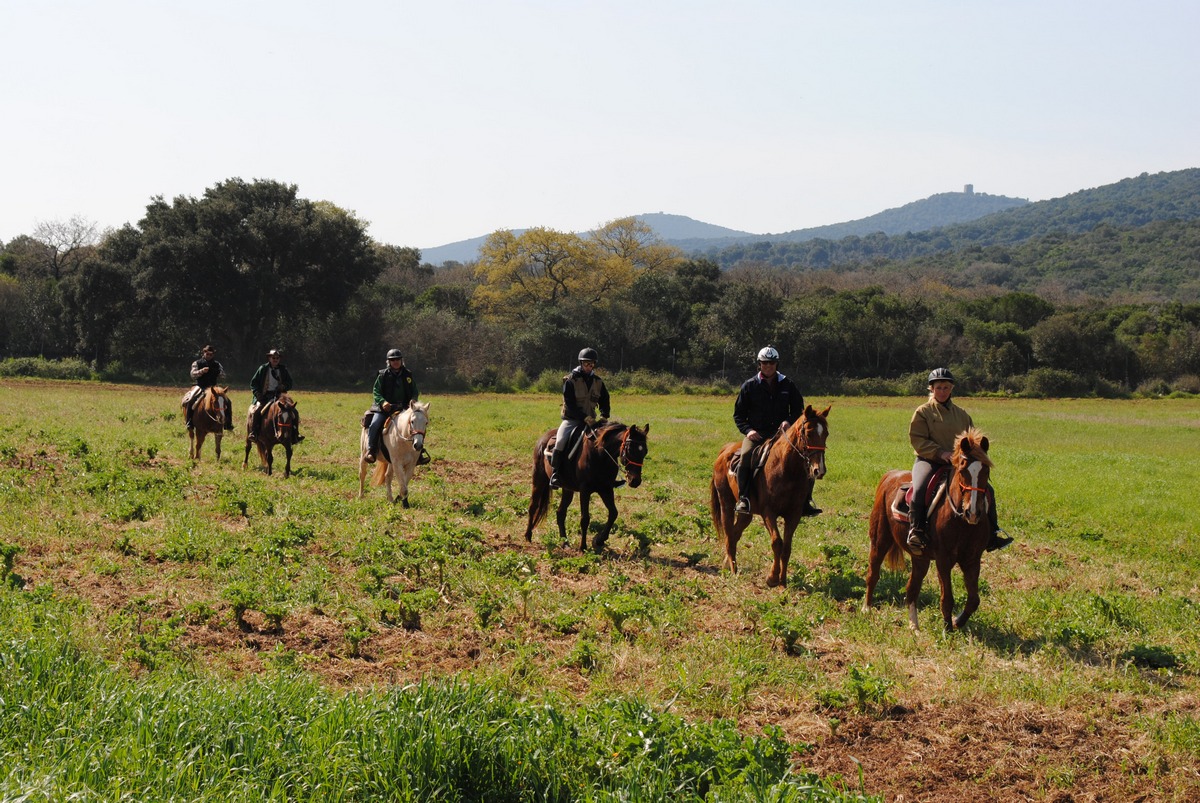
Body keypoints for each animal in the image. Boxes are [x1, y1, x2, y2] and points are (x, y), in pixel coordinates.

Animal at [525, 420, 652, 552]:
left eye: (645, 451)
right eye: (630, 449)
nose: (635, 481)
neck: (600, 454)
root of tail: (543, 438)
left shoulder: (606, 489)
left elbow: (613, 513)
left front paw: (599, 540)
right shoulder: (585, 491)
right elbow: (585, 519)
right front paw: (583, 547)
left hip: (567, 489)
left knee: (560, 513)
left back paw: (565, 542)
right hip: (539, 480)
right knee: (533, 506)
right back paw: (528, 536)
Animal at [705, 403, 830, 585]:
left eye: (826, 433)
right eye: (808, 433)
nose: (818, 470)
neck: (786, 470)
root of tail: (725, 450)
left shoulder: (794, 514)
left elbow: (787, 547)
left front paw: (783, 581)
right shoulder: (768, 513)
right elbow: (777, 542)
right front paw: (772, 578)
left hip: (746, 514)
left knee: (735, 534)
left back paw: (727, 564)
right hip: (726, 504)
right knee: (729, 535)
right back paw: (733, 569)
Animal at [864, 424, 993, 633]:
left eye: (986, 470)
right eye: (962, 469)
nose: (972, 512)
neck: (961, 522)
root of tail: (889, 476)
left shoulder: (972, 560)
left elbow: (974, 600)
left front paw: (957, 622)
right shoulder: (943, 560)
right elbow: (947, 599)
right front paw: (947, 629)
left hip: (920, 559)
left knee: (911, 590)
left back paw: (914, 626)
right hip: (879, 541)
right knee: (873, 574)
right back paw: (866, 608)